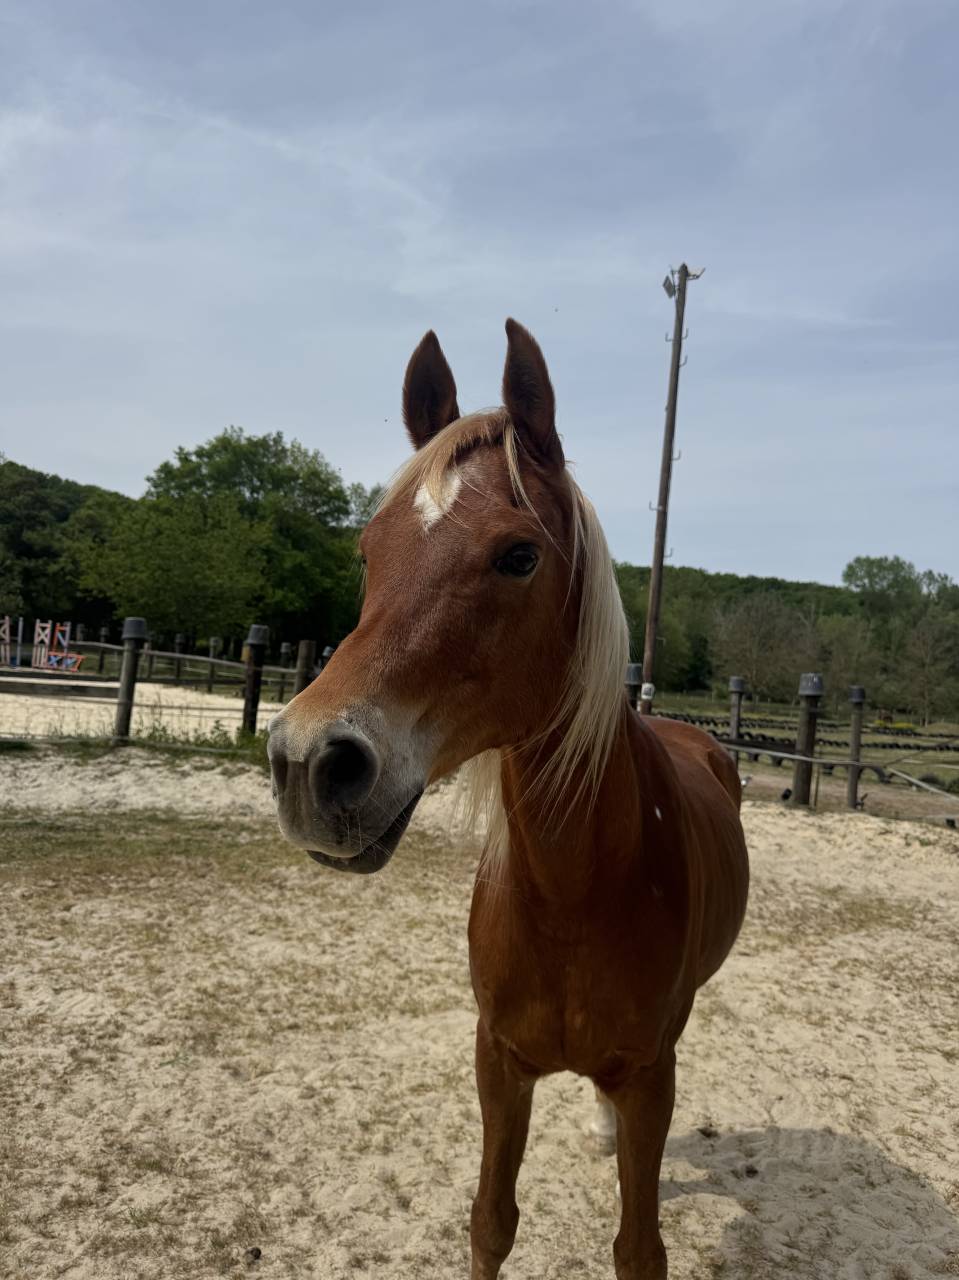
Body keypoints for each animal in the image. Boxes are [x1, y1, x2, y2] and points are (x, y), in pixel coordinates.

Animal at [267, 320, 750, 1279]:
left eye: (518, 554)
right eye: (368, 552)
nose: (309, 762)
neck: (574, 894)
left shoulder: (651, 1077)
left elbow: (637, 1248)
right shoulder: (498, 1063)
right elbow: (491, 1223)